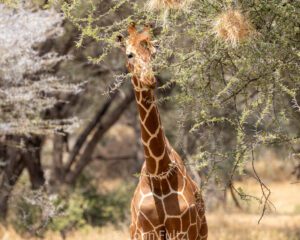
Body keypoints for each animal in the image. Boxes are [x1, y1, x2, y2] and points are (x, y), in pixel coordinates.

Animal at [118, 23, 207, 240]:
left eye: (154, 53)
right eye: (129, 54)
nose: (149, 79)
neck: (158, 175)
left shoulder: (181, 231)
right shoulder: (146, 232)